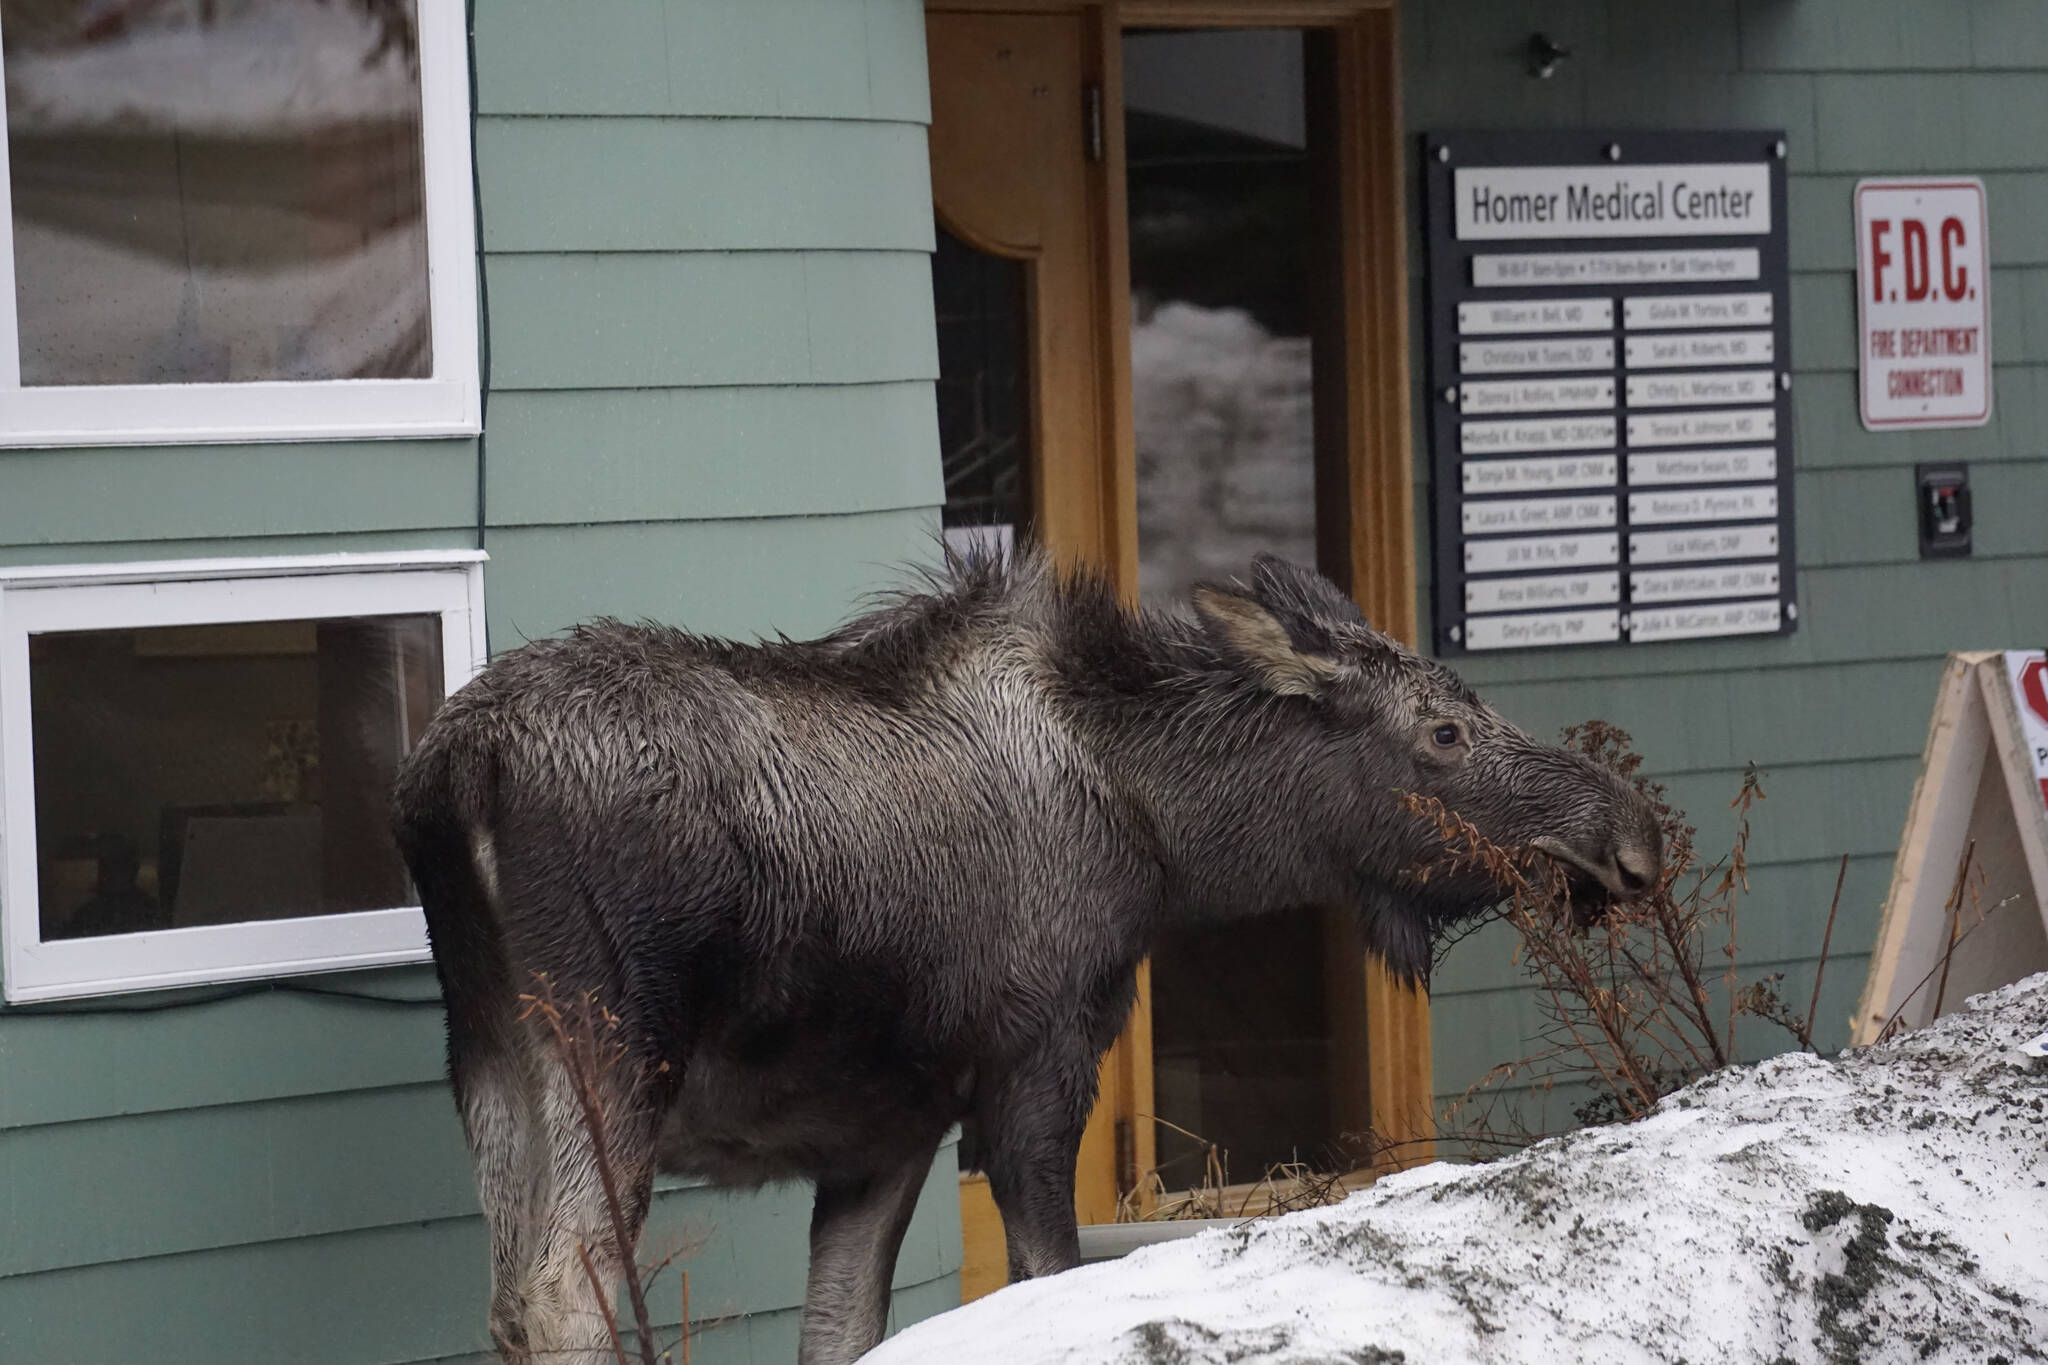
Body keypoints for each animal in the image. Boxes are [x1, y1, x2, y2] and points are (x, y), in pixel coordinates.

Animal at [395, 552, 1662, 1365]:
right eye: (1441, 732)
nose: (1630, 834)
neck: (1168, 840)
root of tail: (452, 777)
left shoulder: (886, 1127)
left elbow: (842, 1328)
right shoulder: (1037, 1066)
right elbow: (1046, 1274)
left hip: (490, 1058)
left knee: (510, 1299)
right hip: (612, 1048)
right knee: (564, 1299)